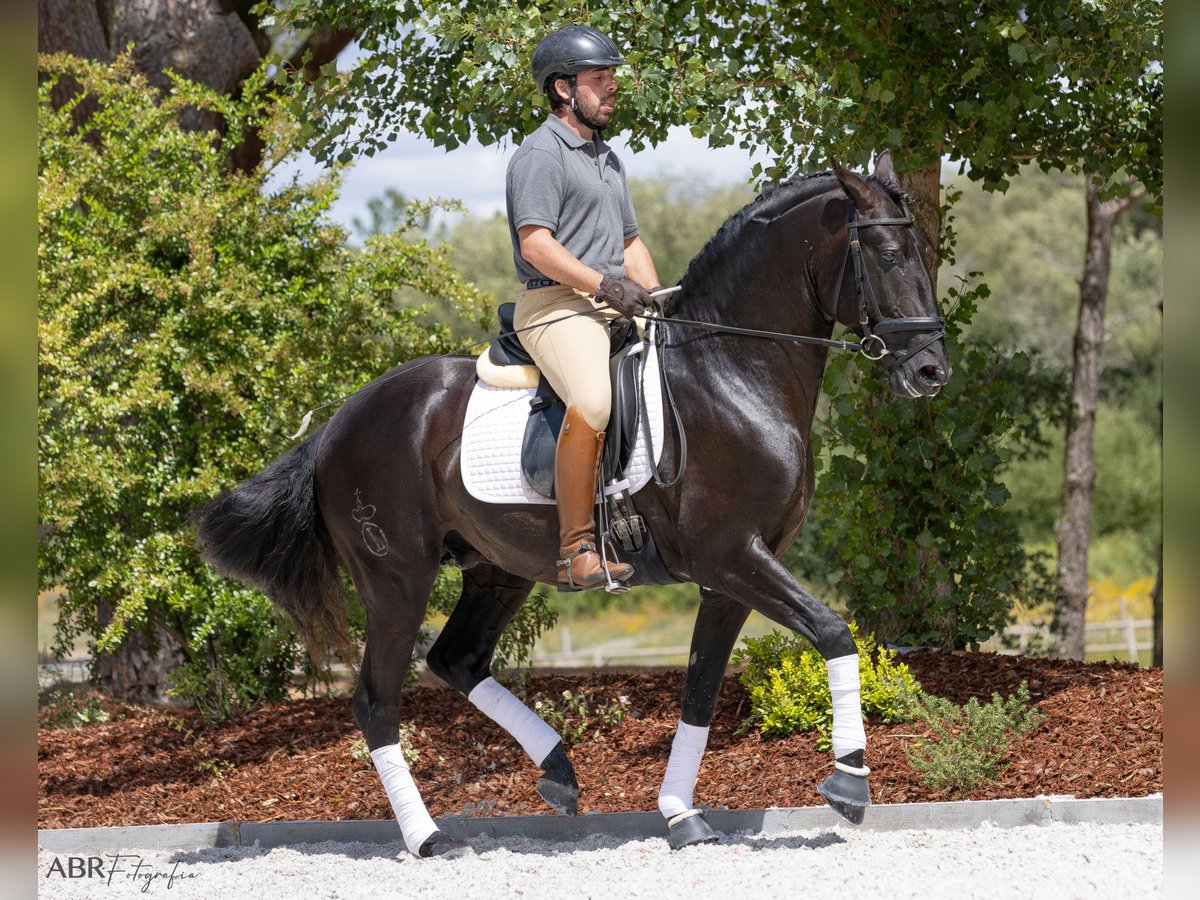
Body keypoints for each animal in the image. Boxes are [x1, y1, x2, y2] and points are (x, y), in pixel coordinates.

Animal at [194, 153, 945, 859]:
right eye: (886, 254)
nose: (931, 371)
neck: (731, 372)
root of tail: (339, 424)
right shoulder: (732, 556)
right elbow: (833, 631)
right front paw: (850, 781)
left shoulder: (728, 577)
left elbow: (701, 688)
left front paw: (681, 814)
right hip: (396, 581)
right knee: (377, 702)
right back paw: (430, 839)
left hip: (497, 569)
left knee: (458, 660)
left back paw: (557, 771)